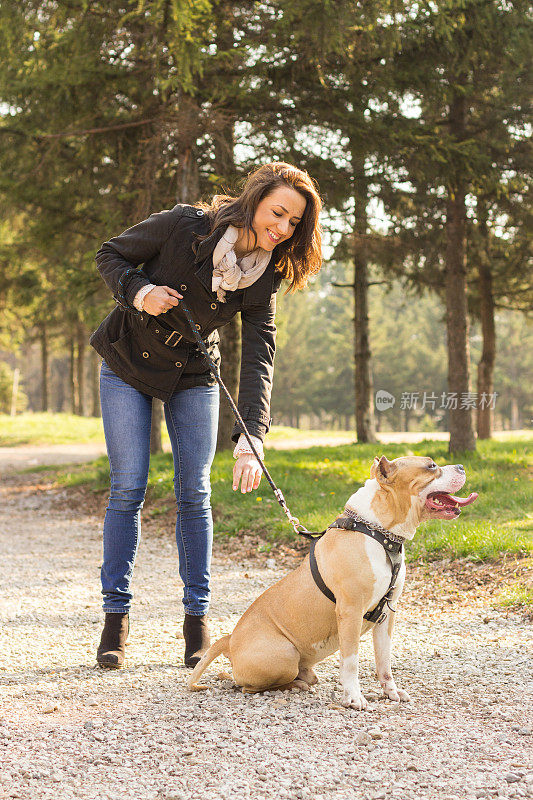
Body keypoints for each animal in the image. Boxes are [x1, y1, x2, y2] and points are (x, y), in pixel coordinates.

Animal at [188, 454, 478, 708]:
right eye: (431, 466)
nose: (463, 466)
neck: (378, 532)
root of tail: (230, 639)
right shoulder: (350, 612)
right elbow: (350, 661)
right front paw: (353, 698)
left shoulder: (387, 615)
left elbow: (384, 662)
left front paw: (391, 692)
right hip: (285, 653)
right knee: (246, 686)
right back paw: (293, 686)